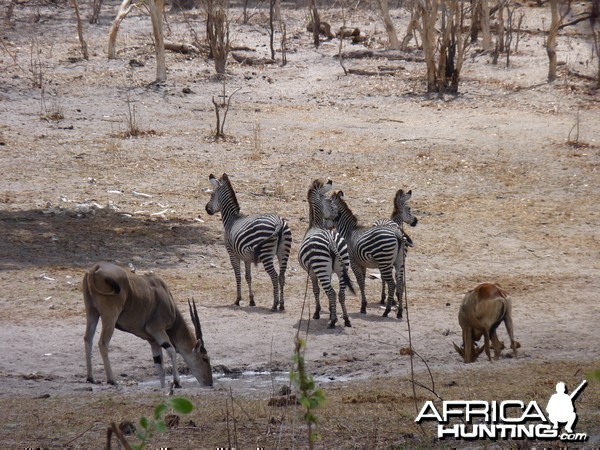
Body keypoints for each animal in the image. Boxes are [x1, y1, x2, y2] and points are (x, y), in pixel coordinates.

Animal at [82, 262, 213, 388]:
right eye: (205, 358)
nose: (210, 383)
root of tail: (96, 267)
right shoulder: (157, 329)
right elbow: (171, 350)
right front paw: (177, 383)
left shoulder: (153, 341)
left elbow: (160, 366)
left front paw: (163, 387)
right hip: (110, 316)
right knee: (103, 343)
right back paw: (111, 380)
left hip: (92, 313)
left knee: (88, 339)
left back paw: (90, 378)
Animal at [204, 174, 292, 312]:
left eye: (212, 195)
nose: (206, 209)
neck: (232, 218)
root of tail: (278, 222)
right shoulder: (247, 258)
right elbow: (248, 277)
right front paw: (251, 300)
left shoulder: (232, 253)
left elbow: (238, 275)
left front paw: (238, 299)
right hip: (284, 252)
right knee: (282, 276)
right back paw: (282, 305)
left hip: (266, 253)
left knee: (274, 276)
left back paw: (274, 304)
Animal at [298, 178, 354, 328]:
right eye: (330, 202)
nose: (338, 216)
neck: (316, 225)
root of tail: (331, 241)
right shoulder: (327, 272)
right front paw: (330, 310)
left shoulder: (311, 272)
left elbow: (316, 290)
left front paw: (317, 312)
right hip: (342, 266)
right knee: (340, 293)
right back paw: (346, 319)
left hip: (321, 265)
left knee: (332, 292)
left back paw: (333, 321)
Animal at [328, 190, 412, 320]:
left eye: (328, 205)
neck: (348, 232)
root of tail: (397, 233)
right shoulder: (362, 263)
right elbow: (363, 282)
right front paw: (364, 305)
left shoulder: (354, 262)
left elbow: (360, 283)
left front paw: (363, 307)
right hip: (399, 262)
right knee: (400, 285)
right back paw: (399, 312)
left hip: (384, 262)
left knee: (392, 284)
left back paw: (387, 311)